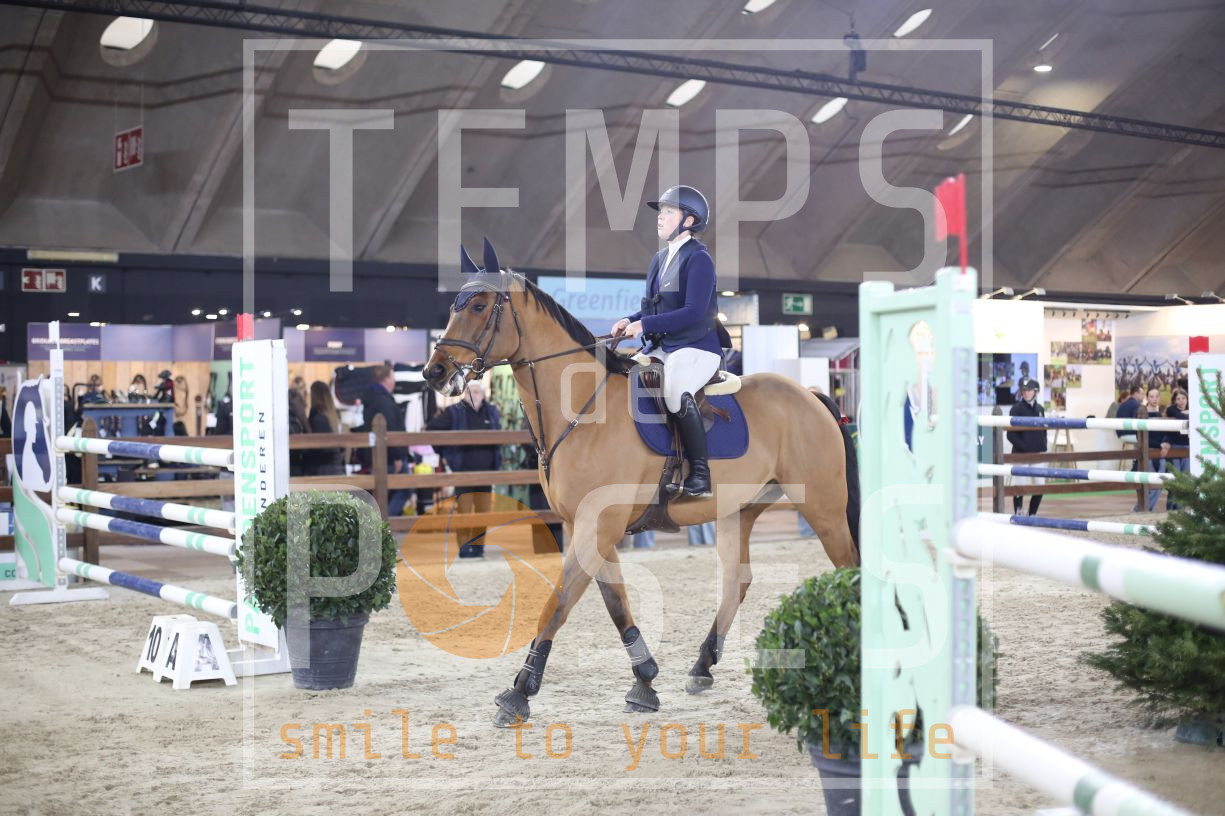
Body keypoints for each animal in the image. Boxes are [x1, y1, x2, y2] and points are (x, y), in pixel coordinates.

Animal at [424, 240, 859, 727]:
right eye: (454, 305)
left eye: (479, 306)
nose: (434, 372)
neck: (582, 409)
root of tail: (812, 397)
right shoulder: (586, 526)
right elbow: (614, 603)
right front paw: (645, 681)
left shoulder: (598, 525)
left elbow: (557, 603)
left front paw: (520, 691)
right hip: (739, 510)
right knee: (738, 580)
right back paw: (702, 666)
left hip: (823, 507)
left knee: (848, 565)